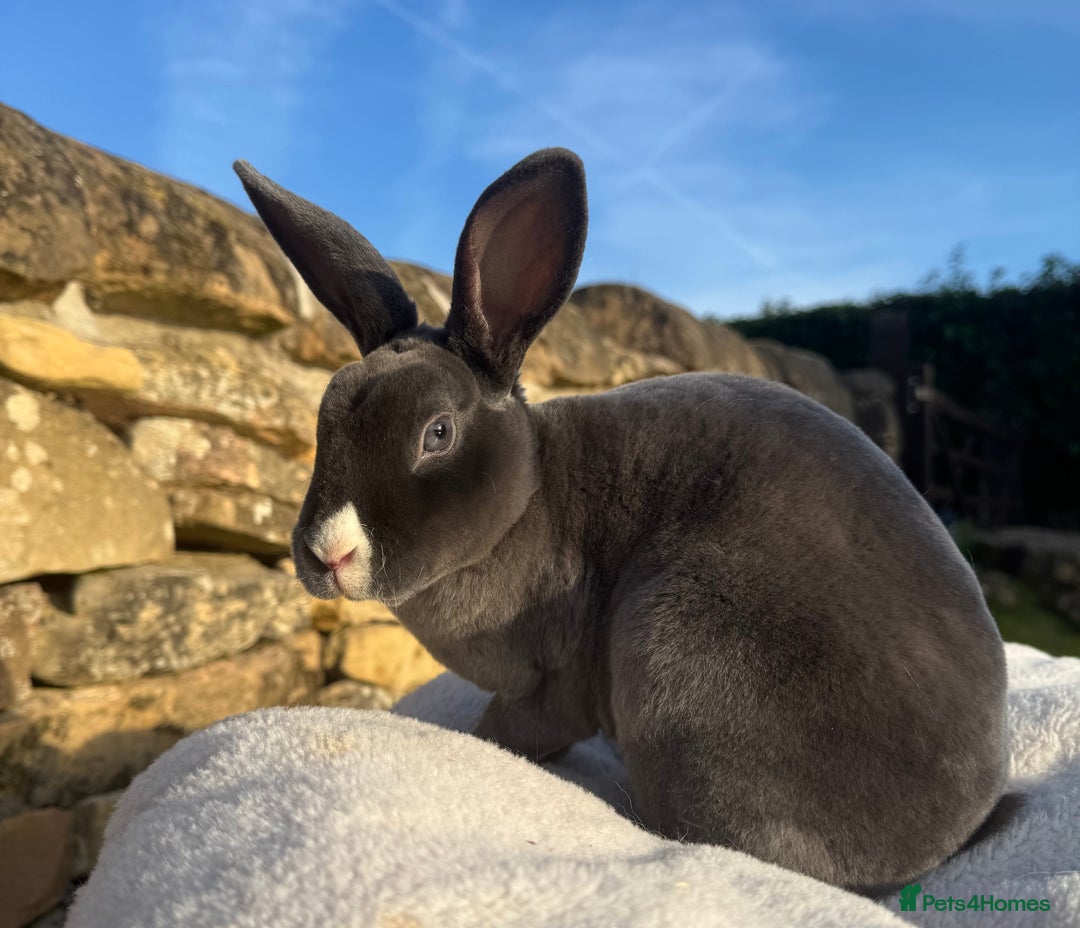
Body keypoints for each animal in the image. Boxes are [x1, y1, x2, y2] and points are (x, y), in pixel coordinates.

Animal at [234, 148, 1010, 894]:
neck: (526, 502)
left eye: (438, 434)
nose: (325, 552)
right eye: (325, 417)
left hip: (673, 633)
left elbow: (510, 730)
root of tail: (960, 828)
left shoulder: (551, 686)